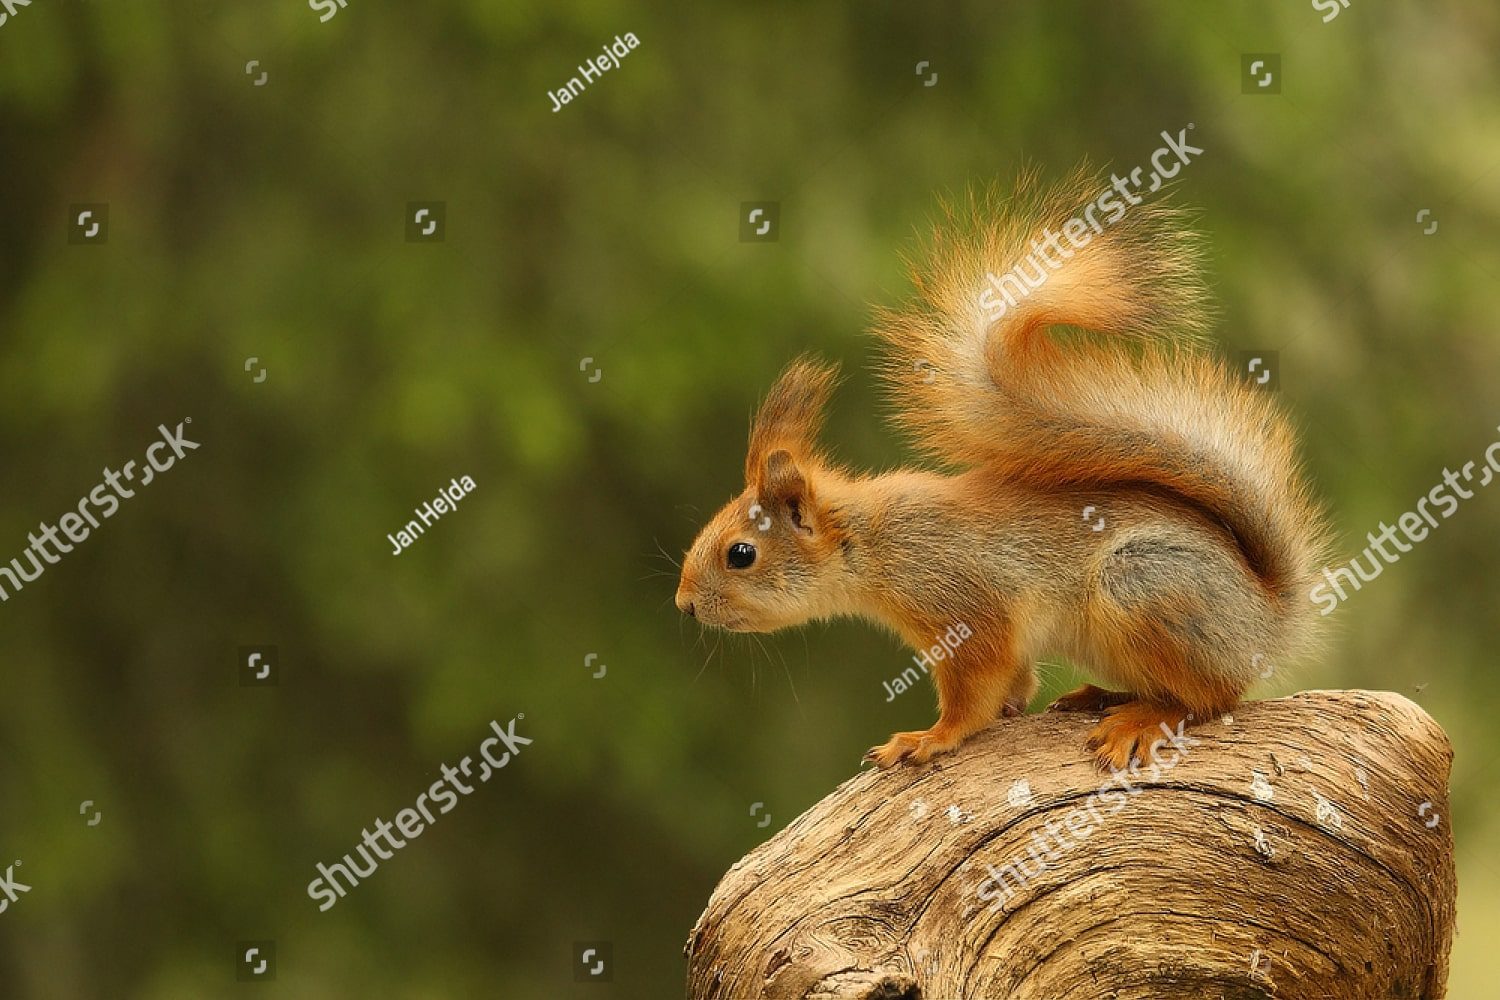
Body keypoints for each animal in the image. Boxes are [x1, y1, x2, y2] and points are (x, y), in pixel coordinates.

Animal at [675, 170, 1333, 771]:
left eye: (740, 554)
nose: (684, 605)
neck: (872, 541)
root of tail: (1266, 620)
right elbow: (1014, 682)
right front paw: (1002, 712)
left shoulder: (965, 607)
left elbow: (975, 690)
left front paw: (930, 737)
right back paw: (1100, 696)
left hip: (1143, 585)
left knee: (1213, 696)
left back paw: (1143, 717)